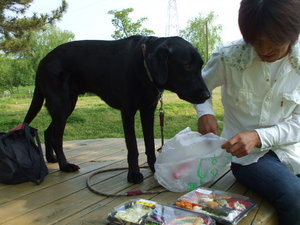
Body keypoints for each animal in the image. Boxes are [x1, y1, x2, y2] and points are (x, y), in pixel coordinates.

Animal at [23, 34, 210, 183]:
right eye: (187, 65)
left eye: (201, 65)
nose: (208, 95)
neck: (143, 66)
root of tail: (42, 61)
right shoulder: (127, 111)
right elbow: (133, 147)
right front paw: (133, 174)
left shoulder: (148, 110)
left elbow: (149, 144)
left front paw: (154, 167)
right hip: (62, 104)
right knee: (56, 137)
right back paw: (64, 165)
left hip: (67, 104)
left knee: (49, 131)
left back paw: (51, 158)